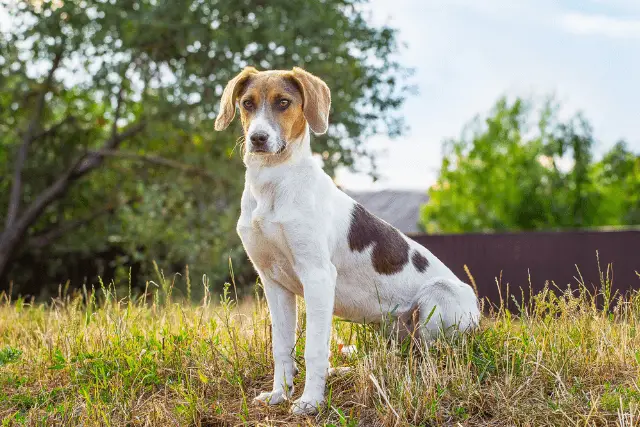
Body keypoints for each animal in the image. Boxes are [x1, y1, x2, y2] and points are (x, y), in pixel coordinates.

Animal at [215, 66, 480, 414]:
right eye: (247, 103)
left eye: (283, 102)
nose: (258, 138)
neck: (274, 183)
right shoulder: (274, 283)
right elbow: (282, 348)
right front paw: (279, 394)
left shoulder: (317, 277)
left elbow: (314, 349)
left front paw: (310, 402)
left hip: (437, 296)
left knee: (433, 355)